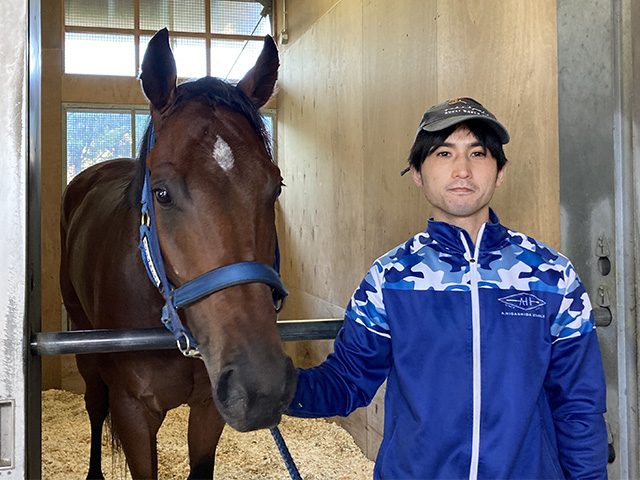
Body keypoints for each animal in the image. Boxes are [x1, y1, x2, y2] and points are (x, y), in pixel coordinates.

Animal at [59, 28, 297, 479]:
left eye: (276, 187)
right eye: (162, 193)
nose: (262, 387)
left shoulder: (209, 409)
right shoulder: (133, 412)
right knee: (94, 405)